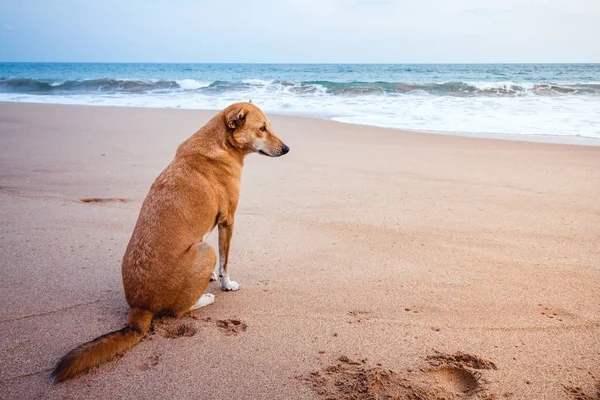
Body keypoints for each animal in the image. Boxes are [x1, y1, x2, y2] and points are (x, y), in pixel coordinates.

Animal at [50, 101, 290, 382]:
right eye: (262, 128)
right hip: (205, 251)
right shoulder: (227, 221)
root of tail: (140, 308)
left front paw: (211, 277)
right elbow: (225, 262)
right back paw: (204, 299)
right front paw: (226, 283)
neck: (221, 143)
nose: (287, 149)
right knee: (179, 311)